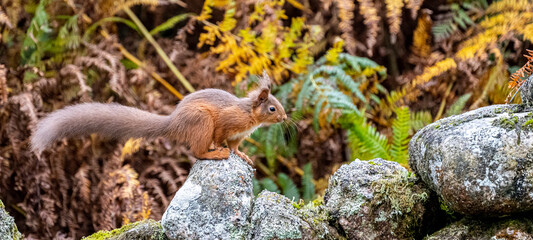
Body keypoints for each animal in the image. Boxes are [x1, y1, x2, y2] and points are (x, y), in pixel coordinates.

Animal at [29, 71, 286, 165]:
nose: (284, 118)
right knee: (197, 152)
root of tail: (174, 122)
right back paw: (214, 153)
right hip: (201, 122)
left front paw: (243, 155)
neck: (249, 114)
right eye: (272, 108)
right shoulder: (226, 122)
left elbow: (235, 146)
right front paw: (221, 149)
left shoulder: (238, 136)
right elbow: (220, 138)